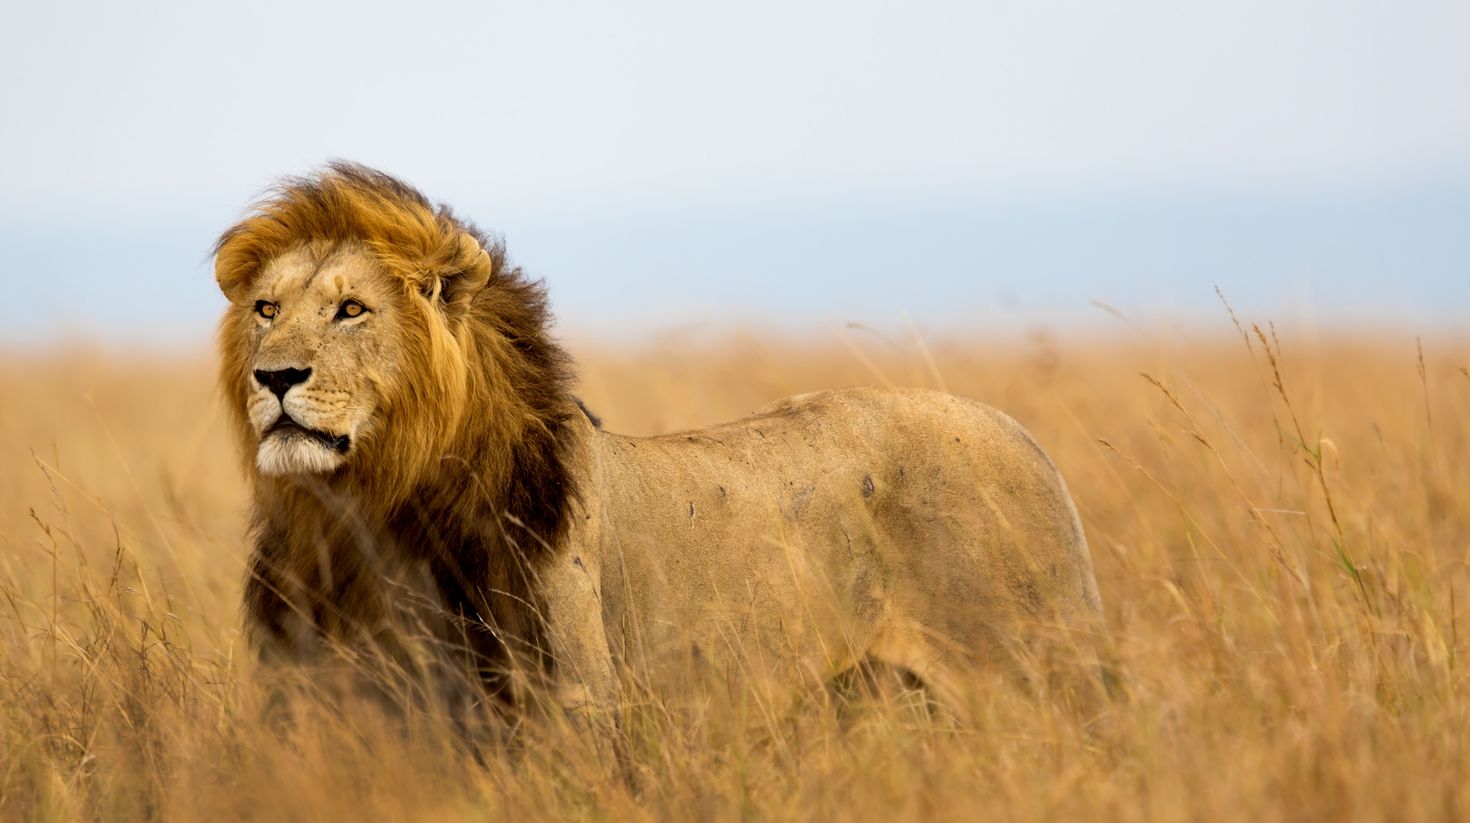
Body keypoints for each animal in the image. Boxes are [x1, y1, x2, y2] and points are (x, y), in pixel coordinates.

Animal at [214, 162, 1106, 754]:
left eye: (351, 309)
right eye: (266, 310)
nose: (275, 377)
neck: (365, 511)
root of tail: (1025, 438)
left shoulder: (570, 706)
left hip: (1033, 678)